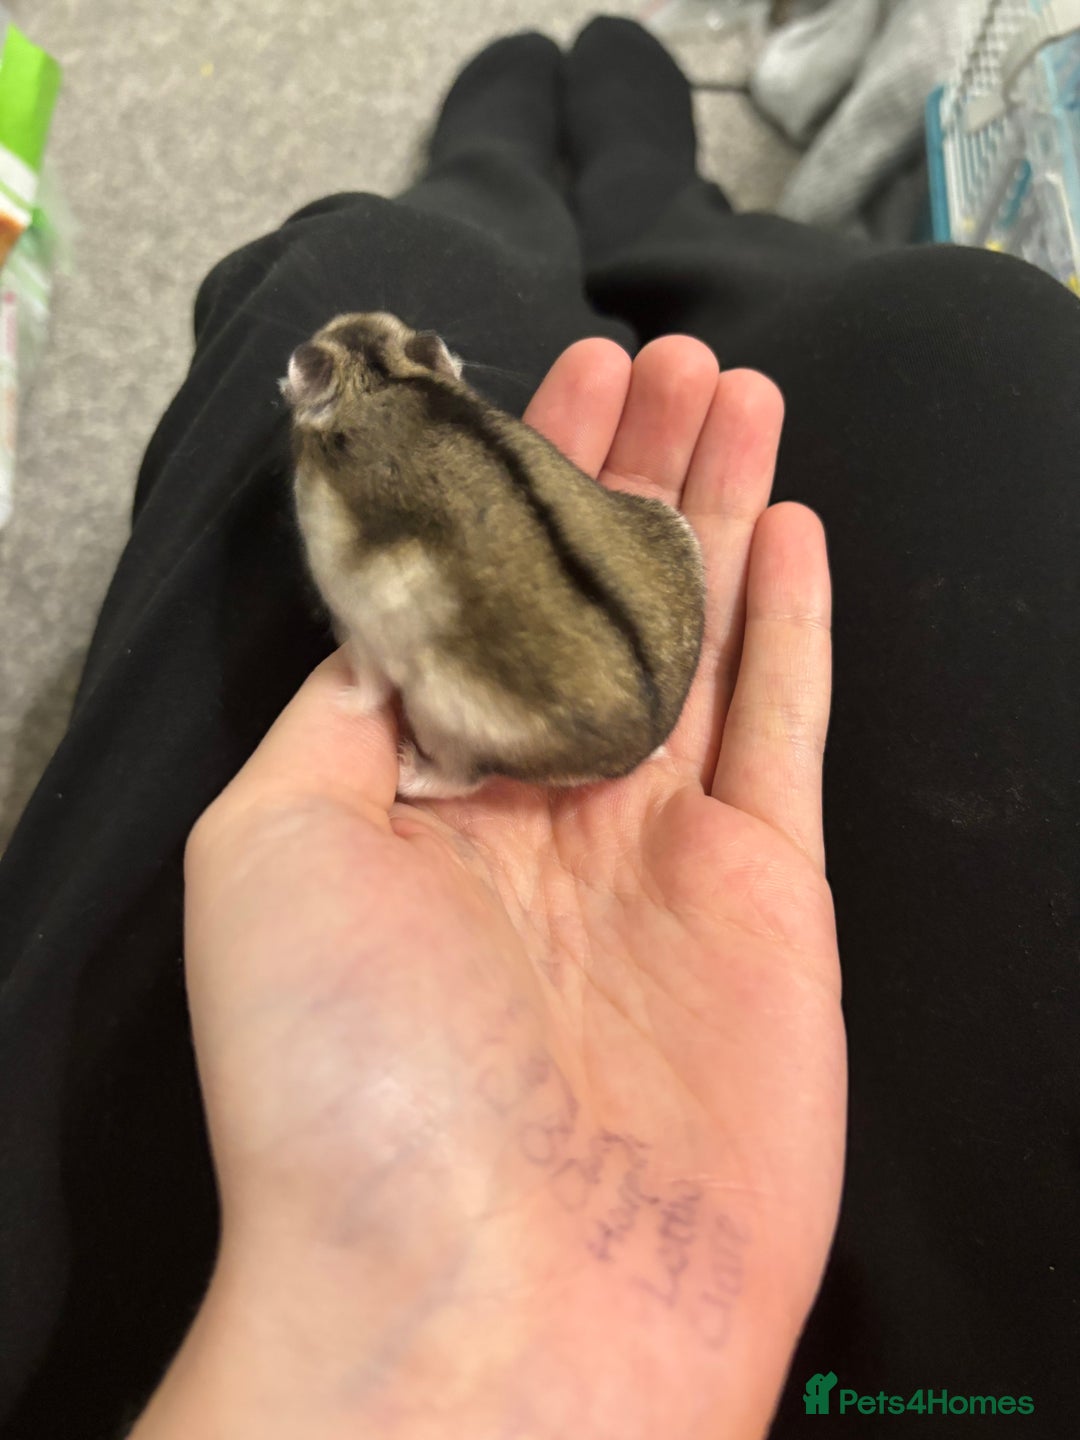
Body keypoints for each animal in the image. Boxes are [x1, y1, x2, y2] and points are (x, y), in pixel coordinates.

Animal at [282, 312, 705, 799]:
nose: (340, 320)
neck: (381, 377)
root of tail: (641, 747)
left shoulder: (354, 617)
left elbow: (367, 684)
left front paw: (342, 702)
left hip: (440, 711)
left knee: (463, 779)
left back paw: (406, 767)